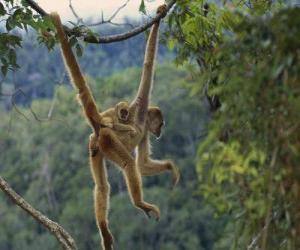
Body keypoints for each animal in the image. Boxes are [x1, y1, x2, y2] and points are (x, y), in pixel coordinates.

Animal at [51, 4, 180, 250]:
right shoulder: (141, 105)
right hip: (109, 141)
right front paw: (159, 16)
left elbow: (143, 164)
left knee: (102, 187)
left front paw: (170, 167)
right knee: (128, 165)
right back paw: (140, 204)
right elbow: (148, 65)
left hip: (96, 147)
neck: (142, 121)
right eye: (162, 123)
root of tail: (99, 129)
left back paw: (103, 228)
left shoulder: (144, 134)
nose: (161, 131)